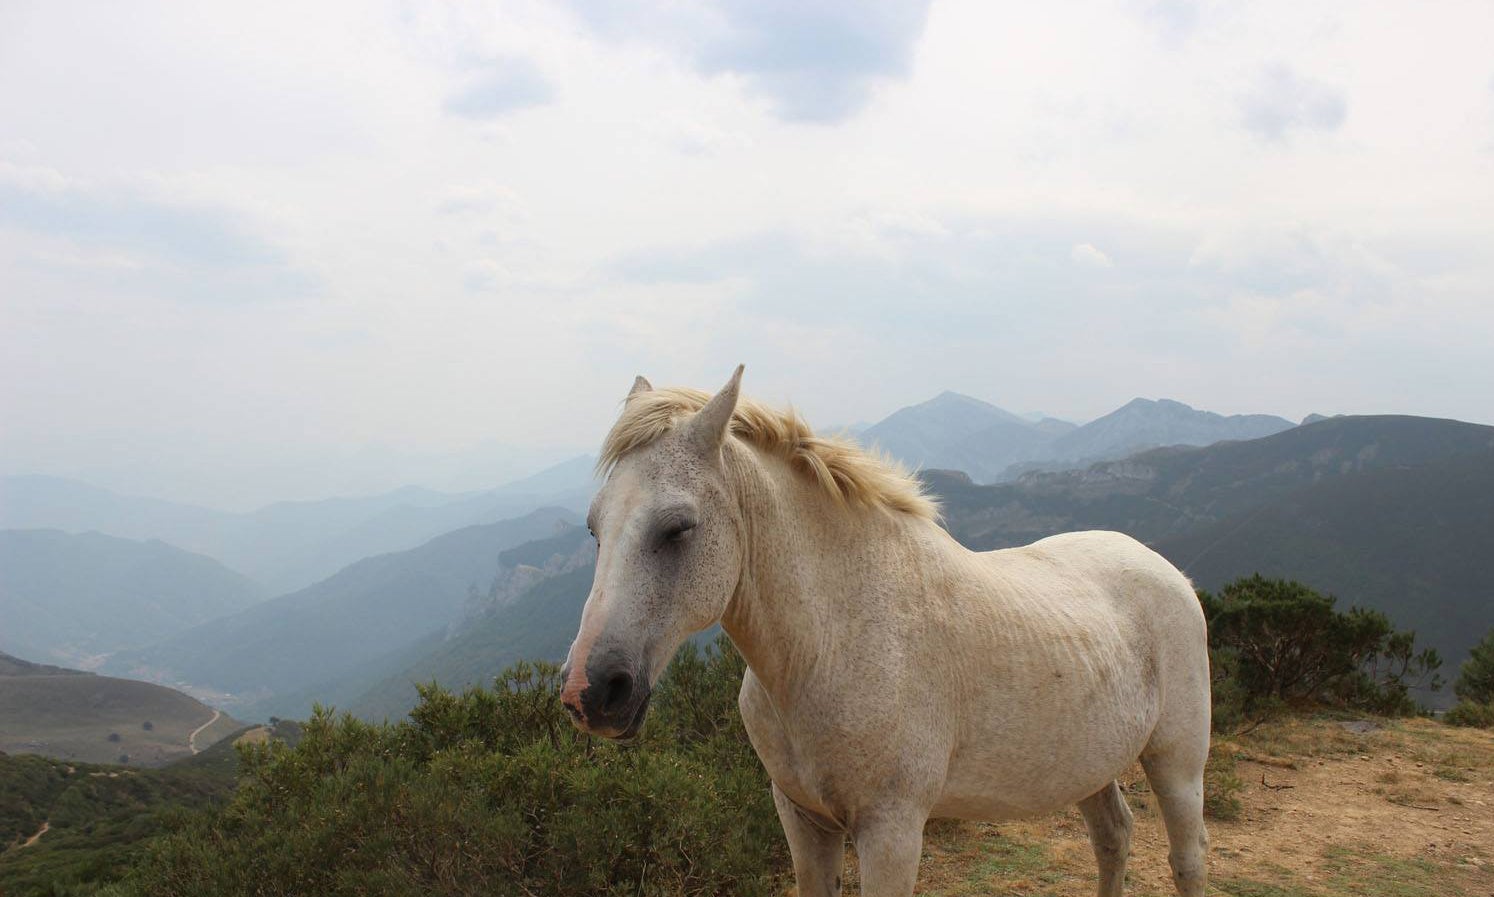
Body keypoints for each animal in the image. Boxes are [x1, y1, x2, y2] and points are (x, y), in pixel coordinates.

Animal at [561, 367, 1213, 891]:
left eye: (678, 527)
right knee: (1114, 837)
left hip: (1178, 763)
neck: (832, 645)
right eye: (594, 527)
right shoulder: (802, 820)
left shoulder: (891, 831)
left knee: (1188, 858)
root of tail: (1166, 571)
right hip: (1090, 766)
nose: (589, 692)